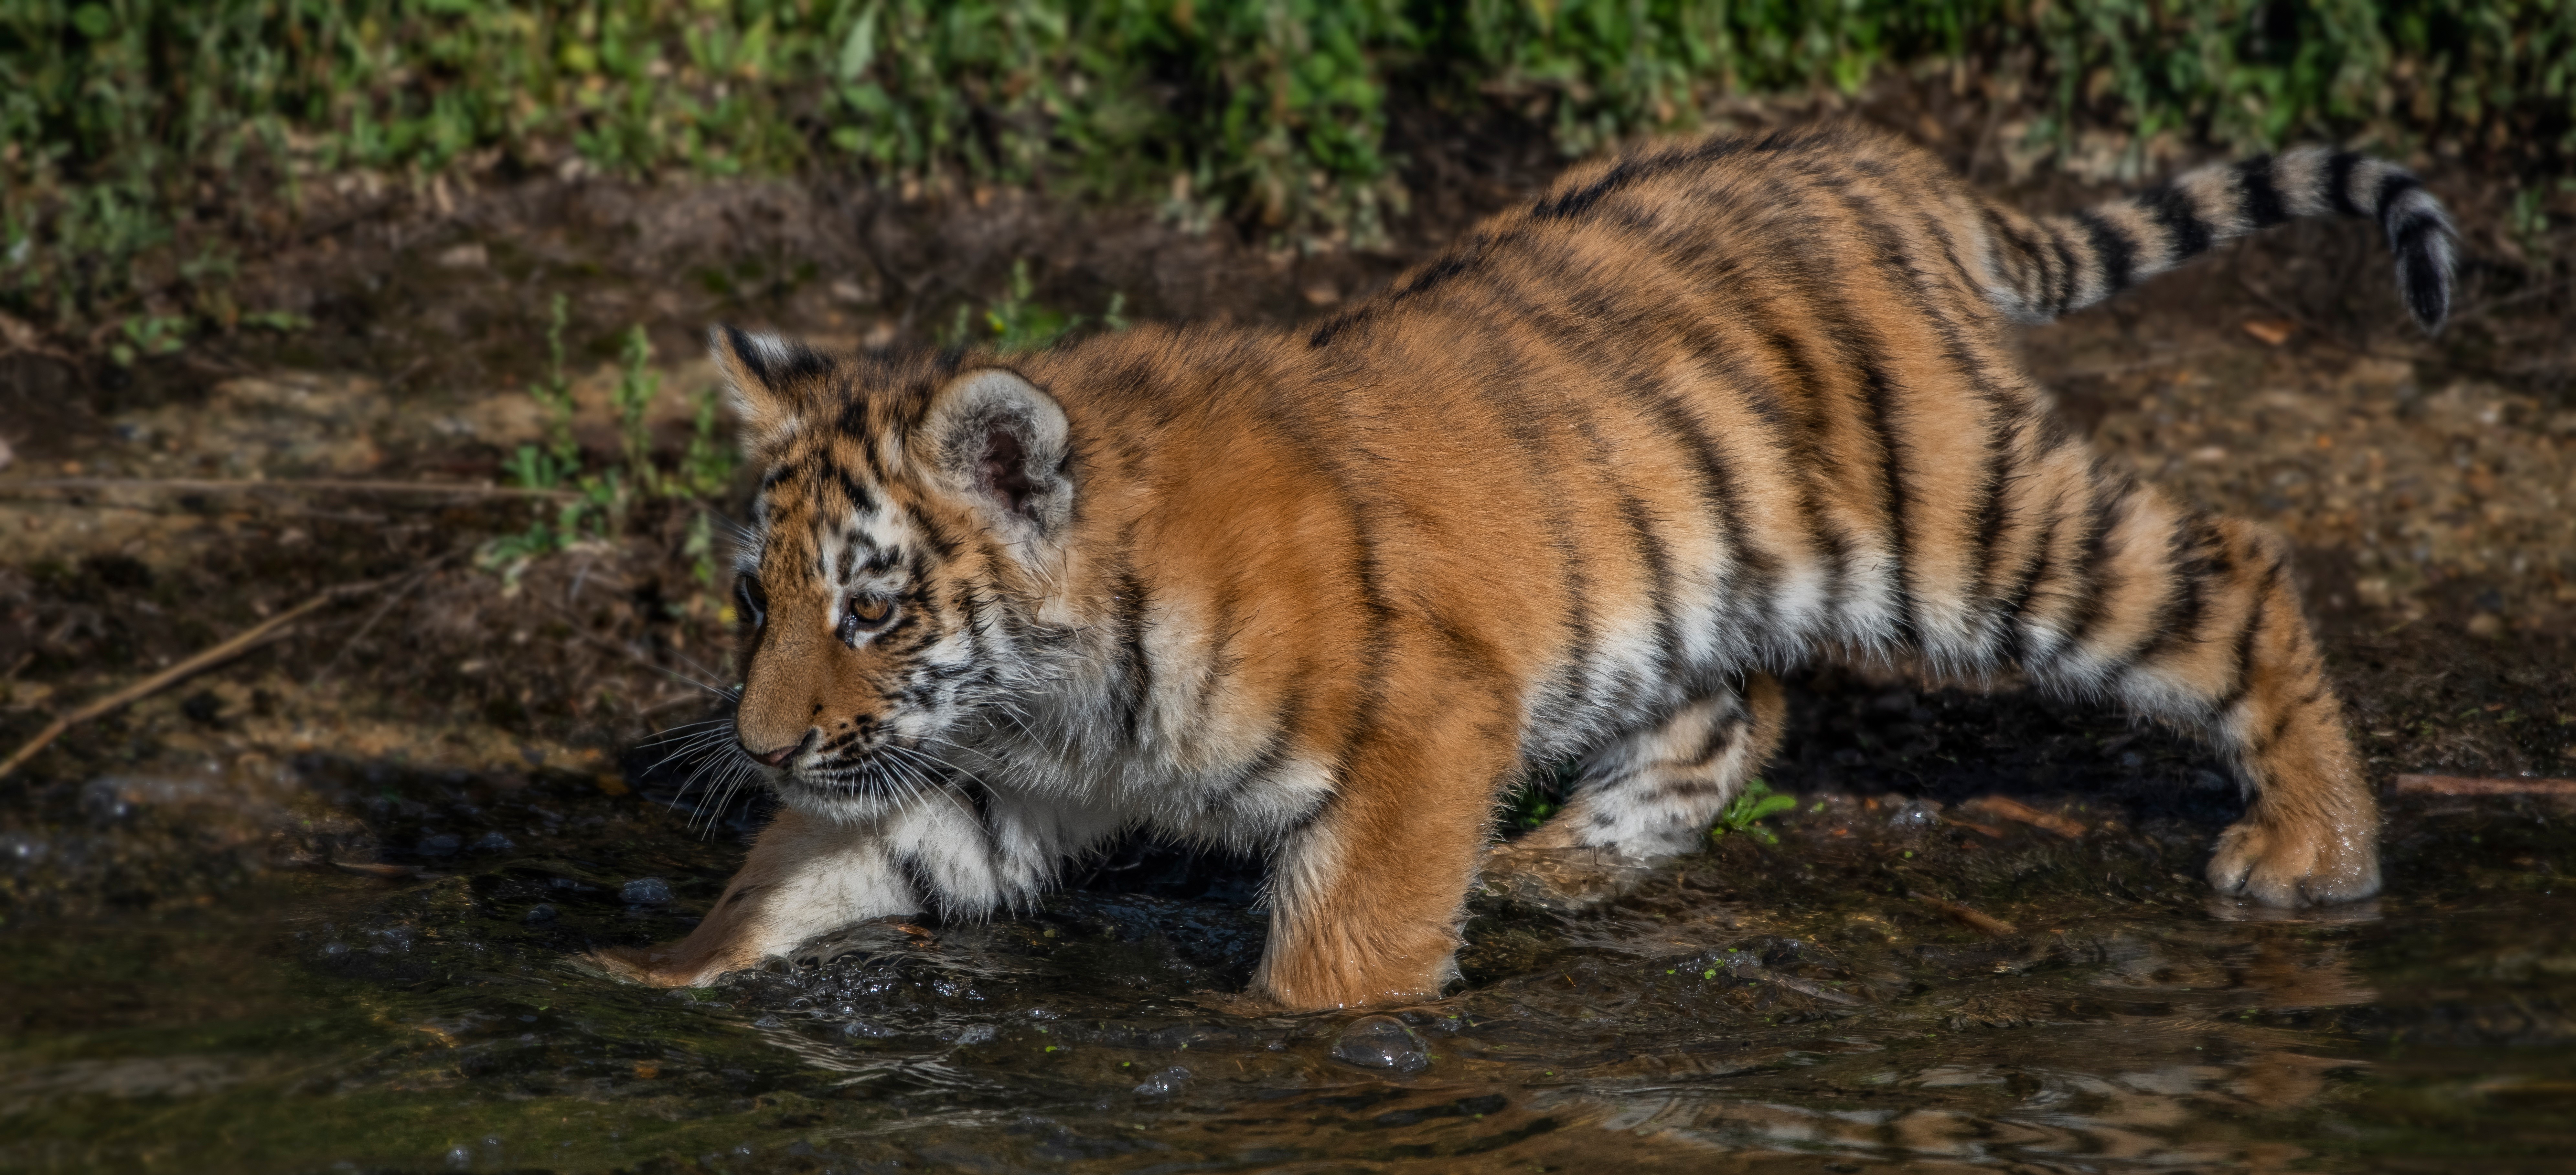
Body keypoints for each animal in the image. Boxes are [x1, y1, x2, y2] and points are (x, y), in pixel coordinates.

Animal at [593, 124, 2452, 1011]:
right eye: (756, 599)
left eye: (876, 602)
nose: (758, 740)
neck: (1049, 694)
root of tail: (1893, 169)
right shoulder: (983, 780)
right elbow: (796, 878)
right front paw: (633, 984)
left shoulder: (1424, 717)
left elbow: (1347, 936)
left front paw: (1302, 1037)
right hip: (1728, 566)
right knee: (1734, 710)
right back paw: (1556, 865)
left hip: (1971, 517)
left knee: (2233, 560)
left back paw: (2317, 855)